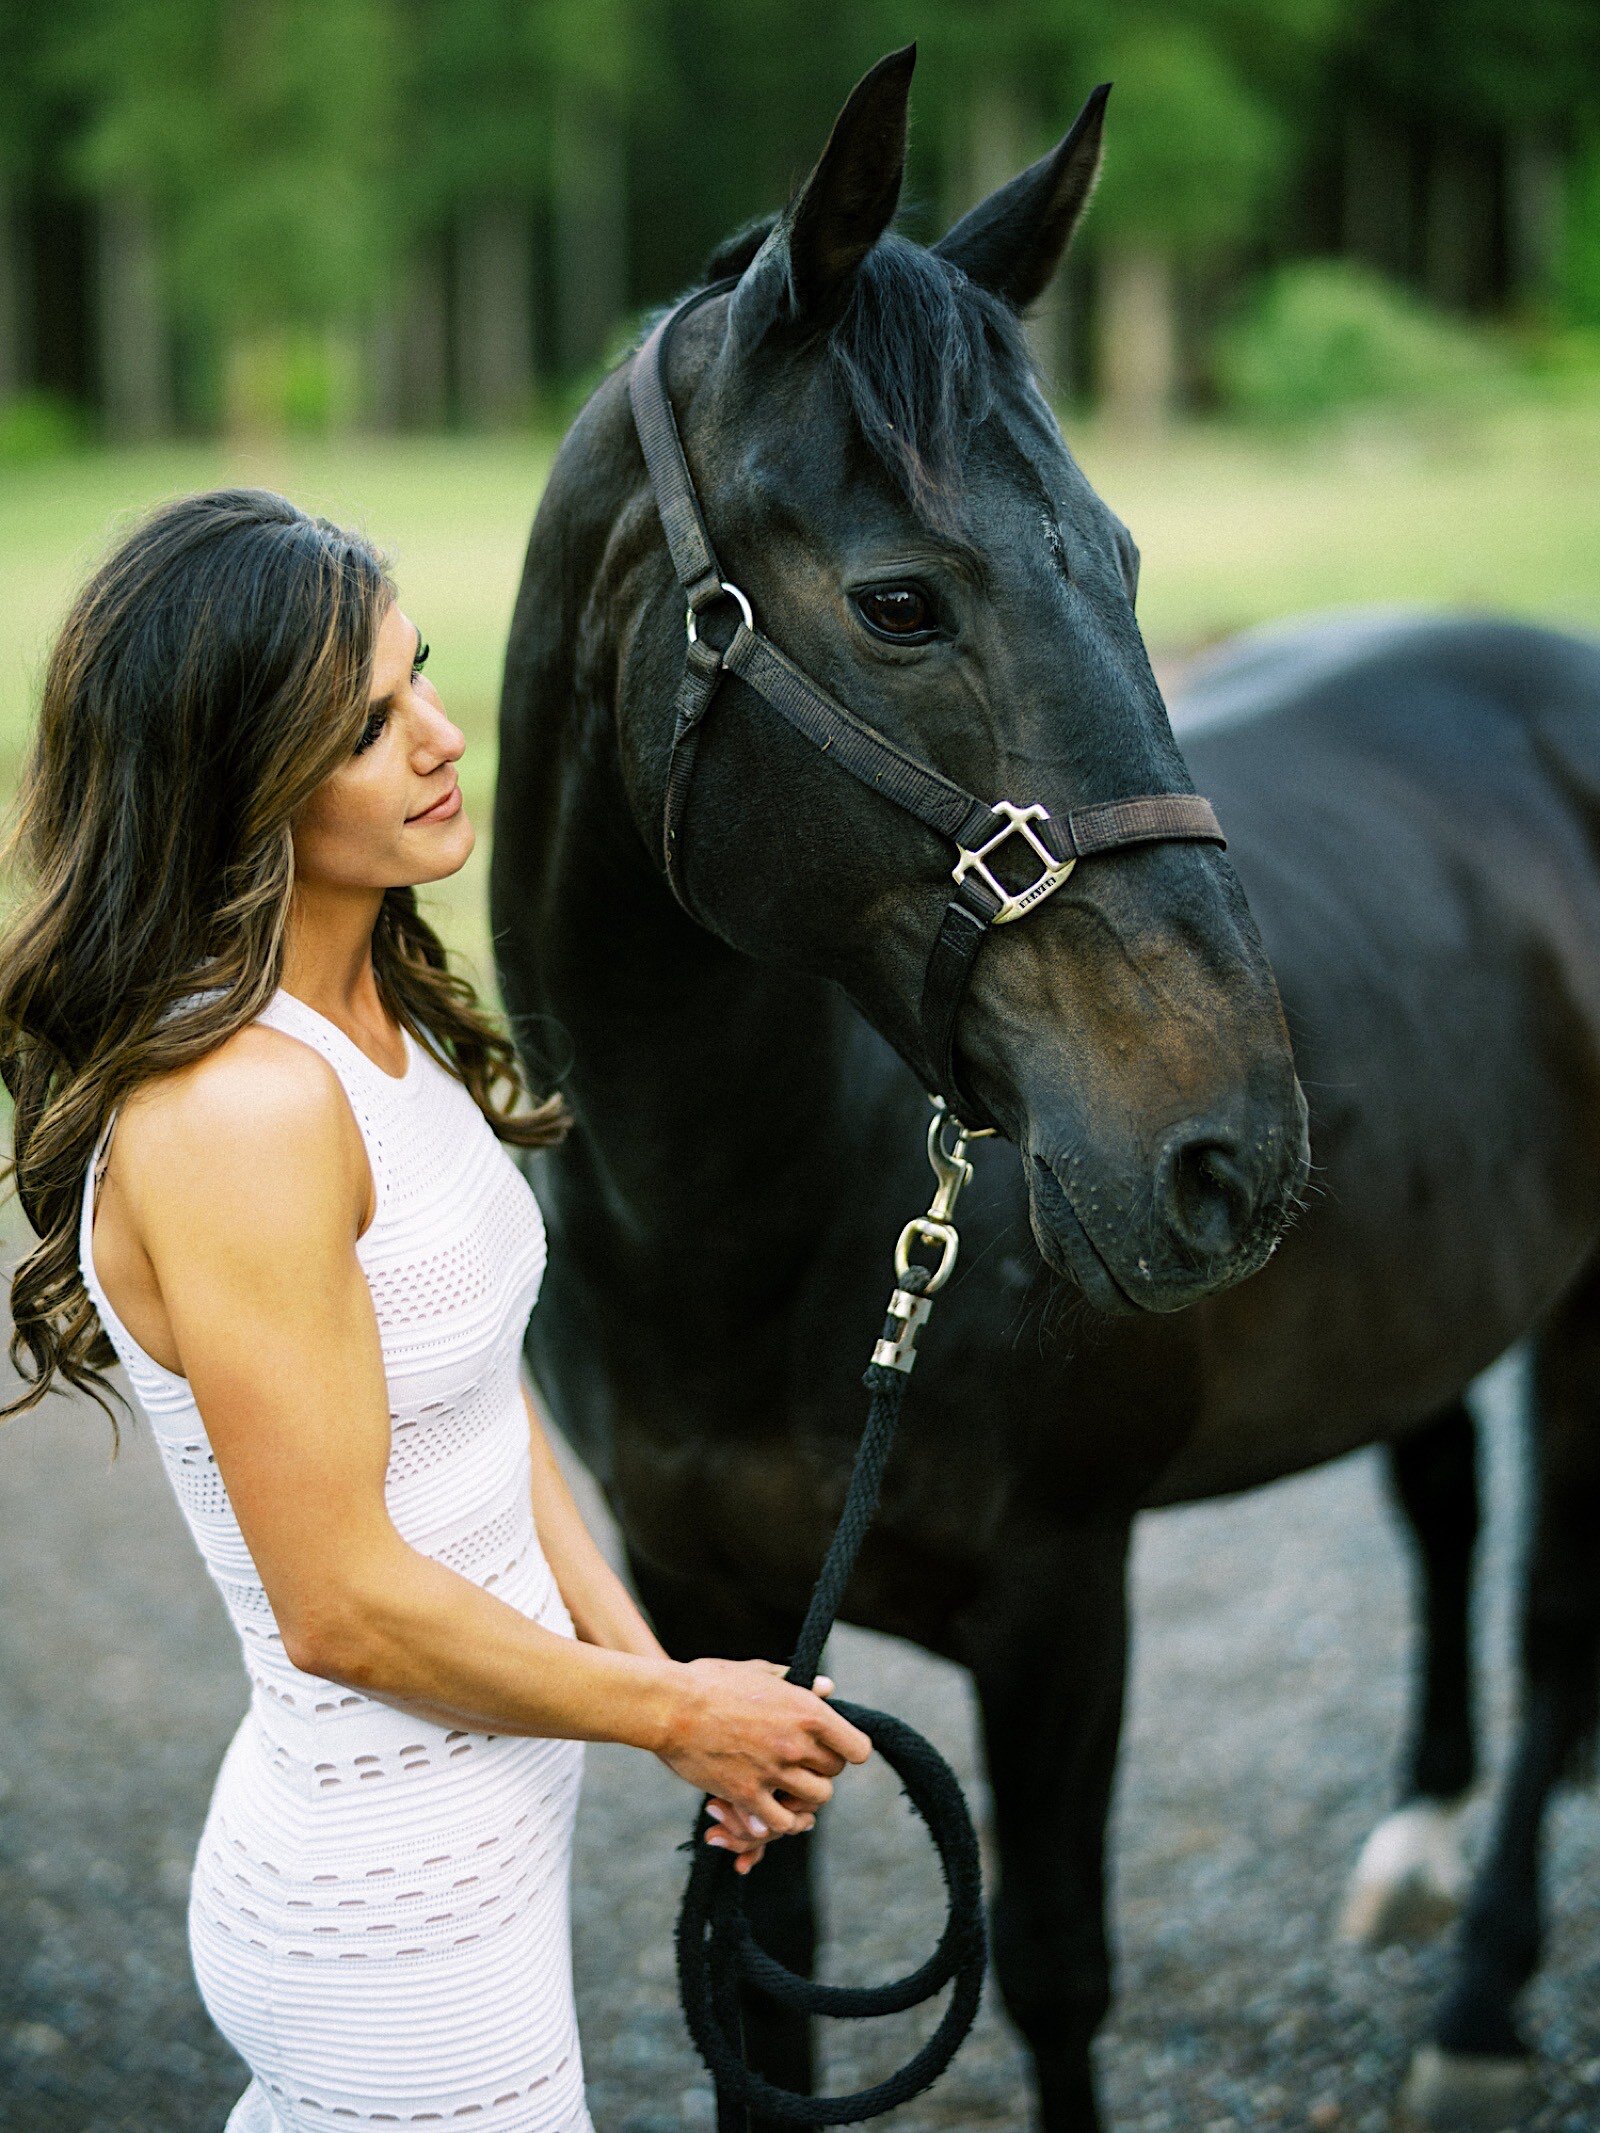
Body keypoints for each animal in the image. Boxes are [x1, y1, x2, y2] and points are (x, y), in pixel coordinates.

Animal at [488, 50, 1600, 2133]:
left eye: (1132, 564)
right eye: (902, 603)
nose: (1227, 1150)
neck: (743, 1219)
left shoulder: (1062, 1605)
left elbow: (1063, 1973)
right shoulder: (706, 1610)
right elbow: (757, 1992)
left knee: (1556, 1621)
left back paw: (1485, 1992)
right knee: (1442, 1497)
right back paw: (1415, 1847)